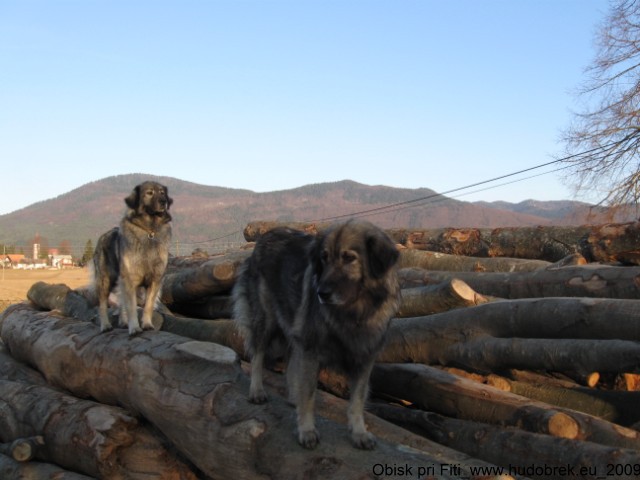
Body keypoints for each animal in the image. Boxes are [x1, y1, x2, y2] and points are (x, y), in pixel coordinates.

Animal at [92, 182, 172, 336]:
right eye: (149, 193)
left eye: (162, 192)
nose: (163, 201)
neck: (150, 230)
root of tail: (103, 236)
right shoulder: (130, 278)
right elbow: (132, 307)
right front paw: (134, 327)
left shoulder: (155, 279)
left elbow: (148, 305)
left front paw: (147, 324)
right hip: (105, 280)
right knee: (102, 305)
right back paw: (105, 325)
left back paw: (123, 322)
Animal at [230, 219, 400, 448]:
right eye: (324, 258)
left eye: (349, 258)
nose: (321, 293)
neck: (354, 313)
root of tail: (265, 236)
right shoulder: (311, 350)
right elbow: (309, 395)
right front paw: (307, 430)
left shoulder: (365, 358)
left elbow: (357, 400)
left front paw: (359, 432)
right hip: (266, 321)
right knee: (257, 355)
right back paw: (257, 391)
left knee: (290, 363)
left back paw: (293, 397)